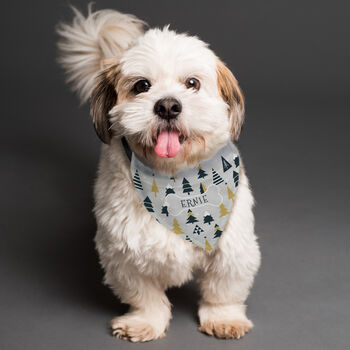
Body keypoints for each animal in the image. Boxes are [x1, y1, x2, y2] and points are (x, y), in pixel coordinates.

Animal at [56, 7, 260, 342]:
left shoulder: (232, 246)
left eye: (192, 83)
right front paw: (145, 321)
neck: (174, 176)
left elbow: (223, 290)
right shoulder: (122, 253)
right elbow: (145, 295)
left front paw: (224, 318)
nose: (167, 105)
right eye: (142, 86)